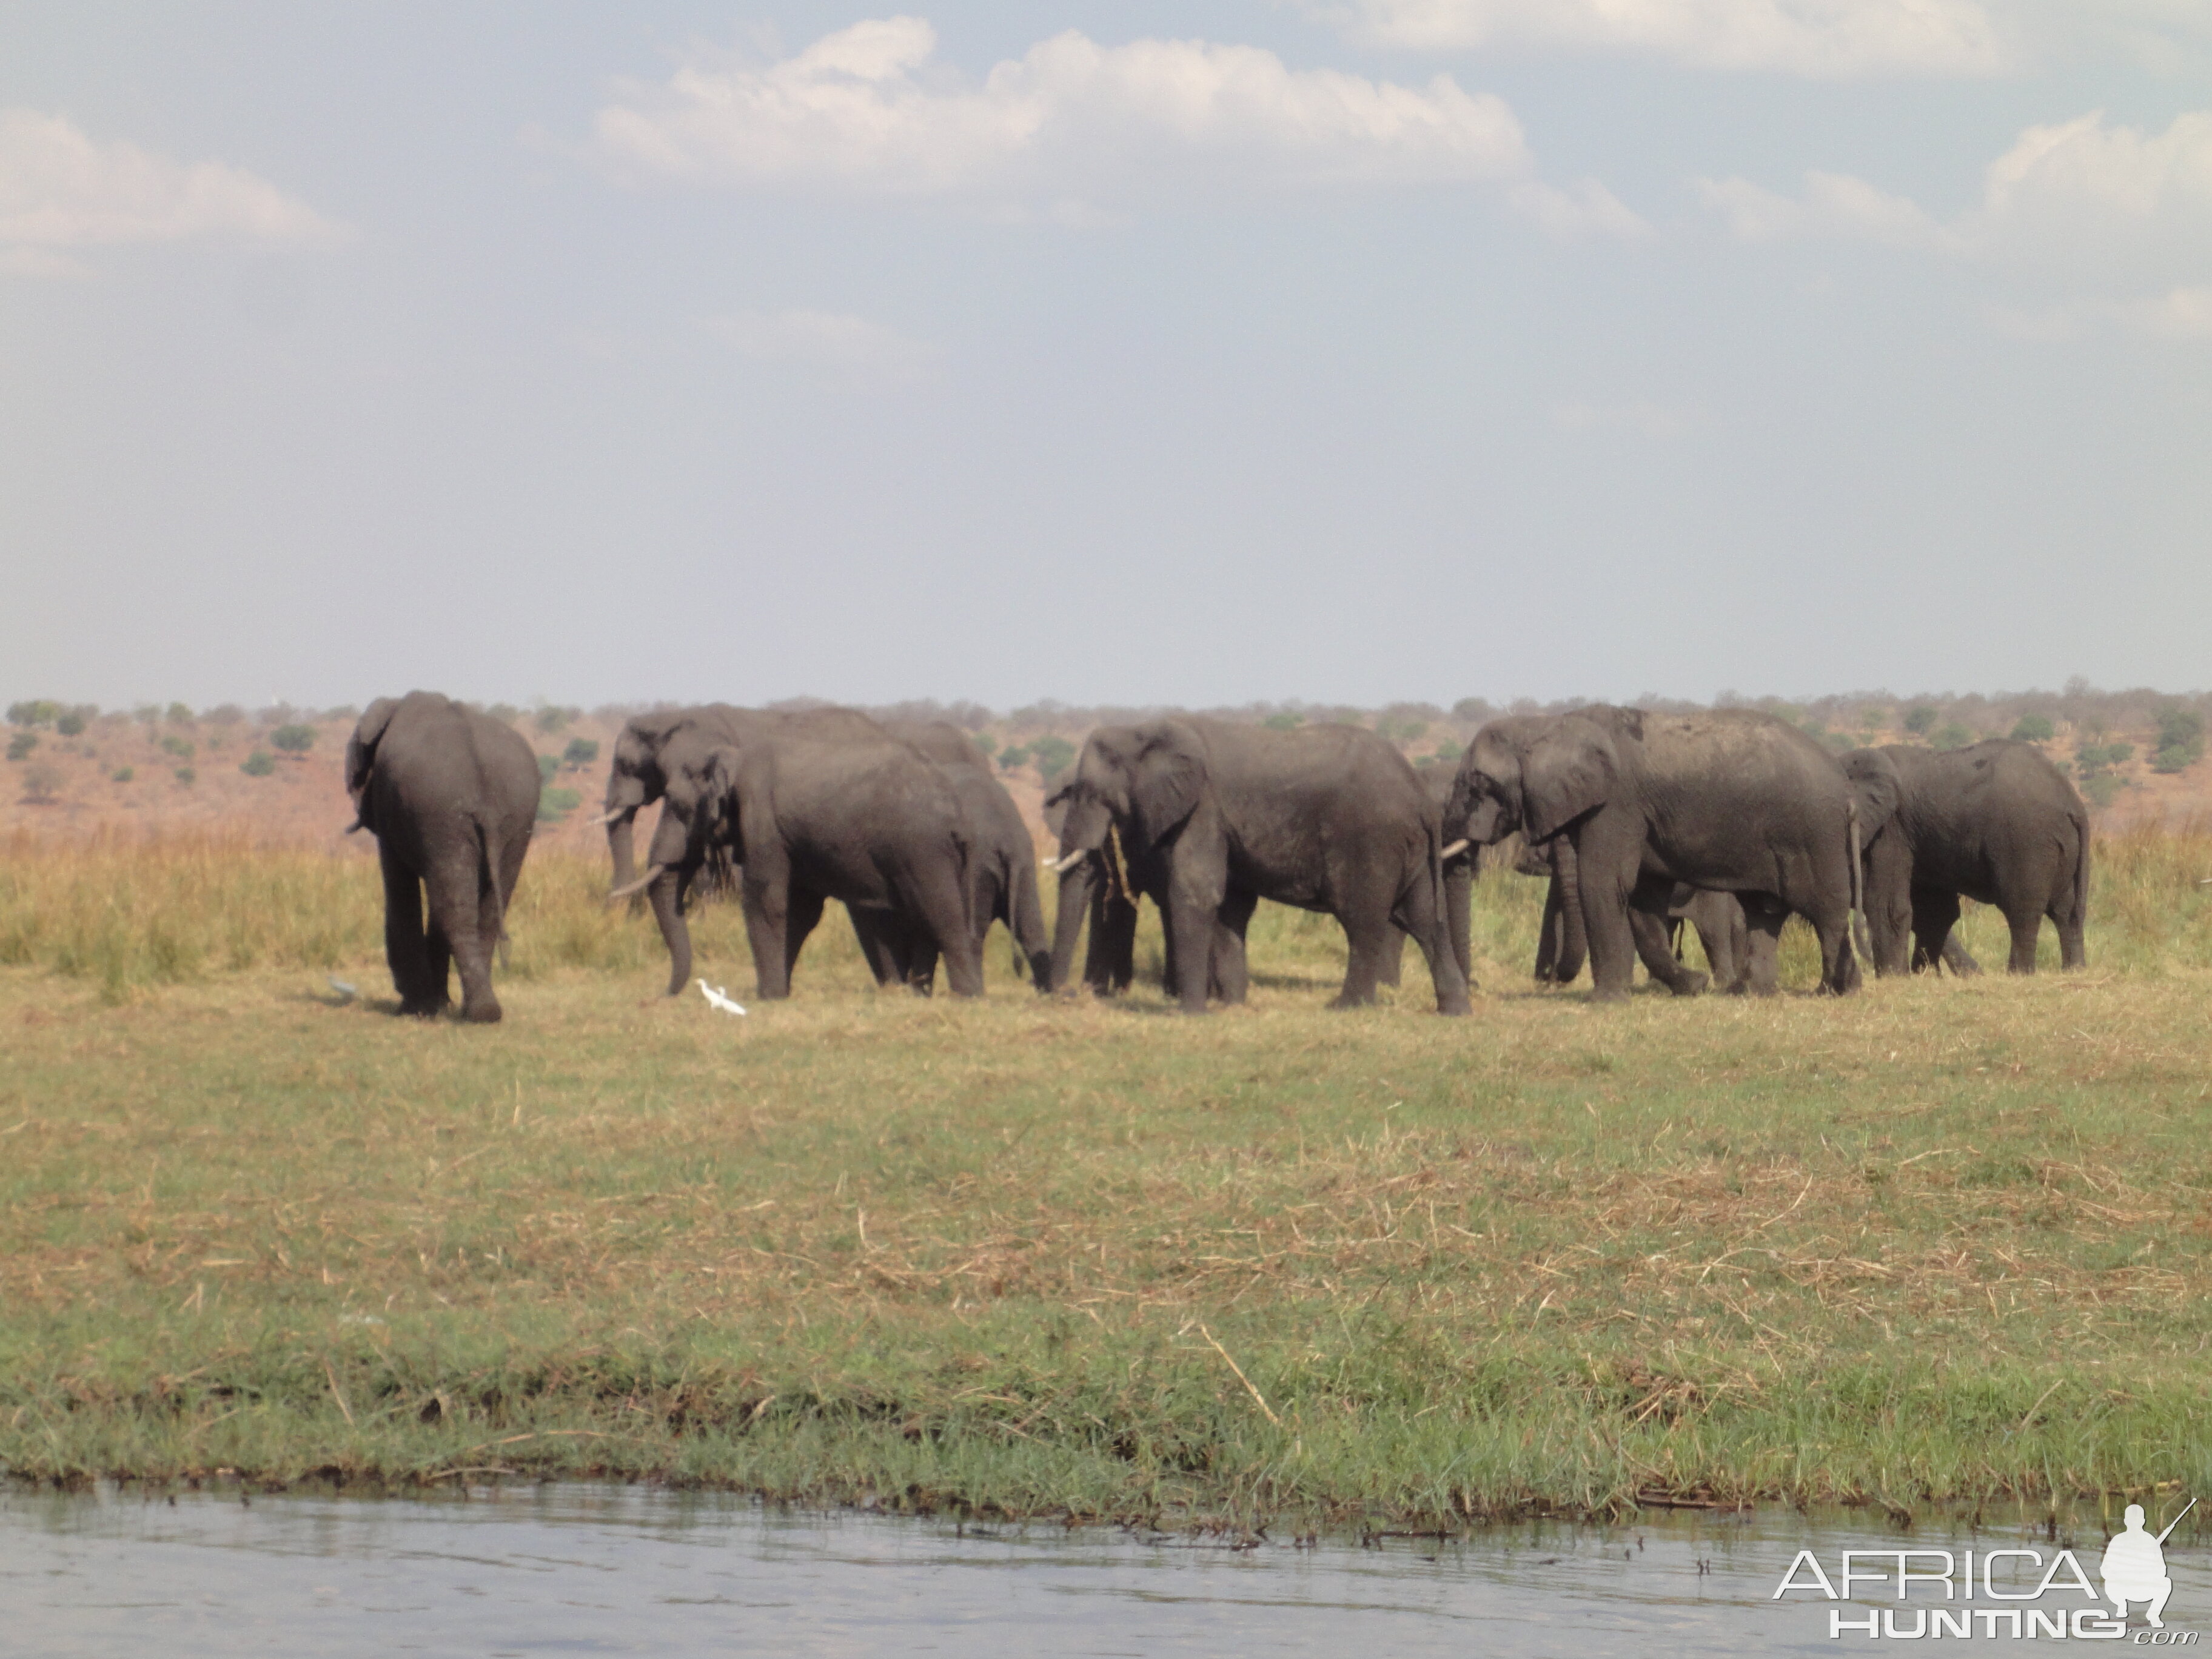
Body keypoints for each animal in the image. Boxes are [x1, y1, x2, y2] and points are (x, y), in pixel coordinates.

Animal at [343, 690, 537, 1026]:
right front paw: (437, 1004)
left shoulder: (391, 805)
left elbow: (399, 887)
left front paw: (415, 1008)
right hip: (512, 816)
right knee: (478, 907)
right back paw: (482, 1011)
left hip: (441, 810)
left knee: (454, 907)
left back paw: (467, 1012)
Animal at [628, 725, 982, 999]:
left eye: (676, 803)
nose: (663, 996)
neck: (731, 756)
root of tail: (955, 809)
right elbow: (801, 911)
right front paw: (780, 993)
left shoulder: (761, 821)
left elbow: (767, 901)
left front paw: (767, 997)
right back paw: (932, 993)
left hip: (922, 849)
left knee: (941, 913)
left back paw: (965, 997)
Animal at [1048, 721, 1469, 1022]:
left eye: (1089, 793)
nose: (1065, 995)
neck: (1144, 729)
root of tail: (1421, 796)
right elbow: (1230, 905)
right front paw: (1232, 1007)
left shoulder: (1202, 810)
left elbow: (1196, 892)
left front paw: (1190, 1015)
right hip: (1410, 849)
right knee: (1425, 919)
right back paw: (1453, 1011)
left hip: (1371, 841)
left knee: (1363, 921)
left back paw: (1347, 1008)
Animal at [1442, 712, 1893, 1008]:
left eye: (1478, 785)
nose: (1477, 988)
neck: (1546, 725)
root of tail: (1847, 791)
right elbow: (1642, 899)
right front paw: (1693, 986)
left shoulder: (1617, 806)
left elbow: (1605, 884)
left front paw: (1606, 1002)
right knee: (1764, 911)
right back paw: (1749, 993)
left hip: (1815, 835)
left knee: (1824, 909)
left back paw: (1835, 992)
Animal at [1849, 739, 2088, 973]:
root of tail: (2073, 803)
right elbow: (1934, 909)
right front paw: (1926, 976)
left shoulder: (1890, 829)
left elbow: (1888, 906)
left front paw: (1896, 976)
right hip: (2060, 845)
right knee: (2067, 910)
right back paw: (2074, 970)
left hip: (2027, 840)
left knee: (2022, 909)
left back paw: (2019, 973)